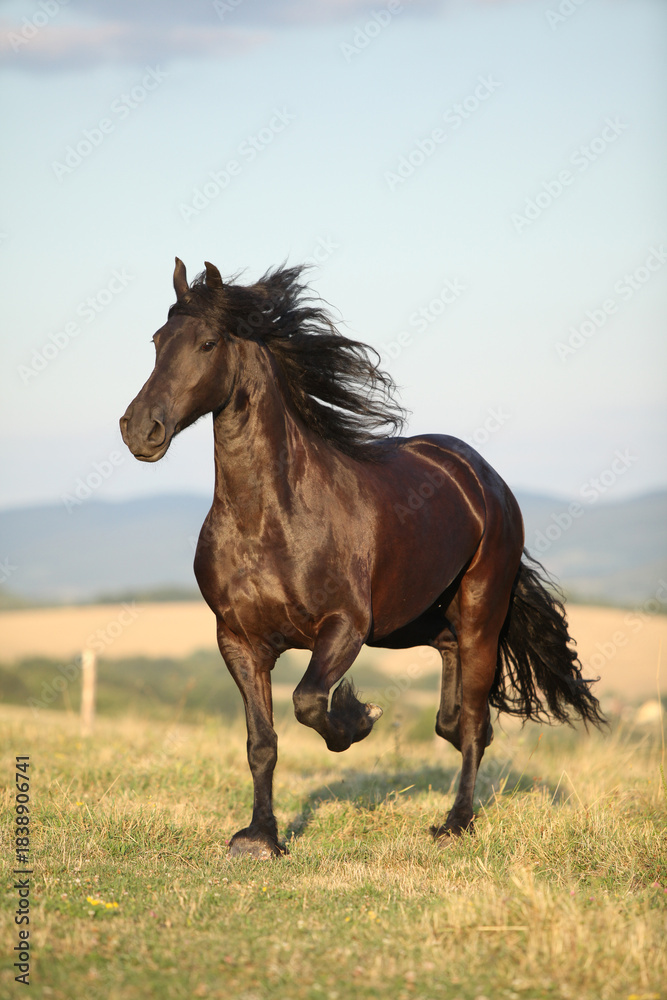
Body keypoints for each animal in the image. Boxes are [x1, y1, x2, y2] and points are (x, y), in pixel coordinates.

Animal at [120, 258, 604, 859]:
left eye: (208, 343)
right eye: (157, 341)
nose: (140, 429)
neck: (268, 520)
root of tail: (483, 478)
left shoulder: (344, 627)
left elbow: (308, 701)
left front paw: (359, 718)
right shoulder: (238, 640)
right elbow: (262, 742)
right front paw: (260, 838)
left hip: (479, 617)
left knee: (473, 724)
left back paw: (456, 823)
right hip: (411, 623)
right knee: (451, 705)